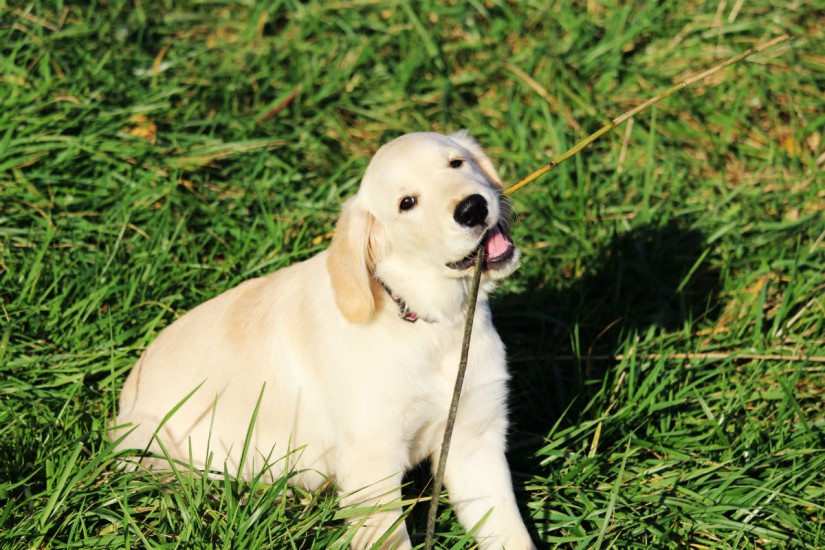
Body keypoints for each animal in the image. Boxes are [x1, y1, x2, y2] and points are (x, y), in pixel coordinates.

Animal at [111, 132, 536, 548]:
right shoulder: (371, 467)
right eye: (407, 203)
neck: (430, 323)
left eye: (456, 163)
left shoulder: (473, 439)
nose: (472, 208)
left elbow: (512, 534)